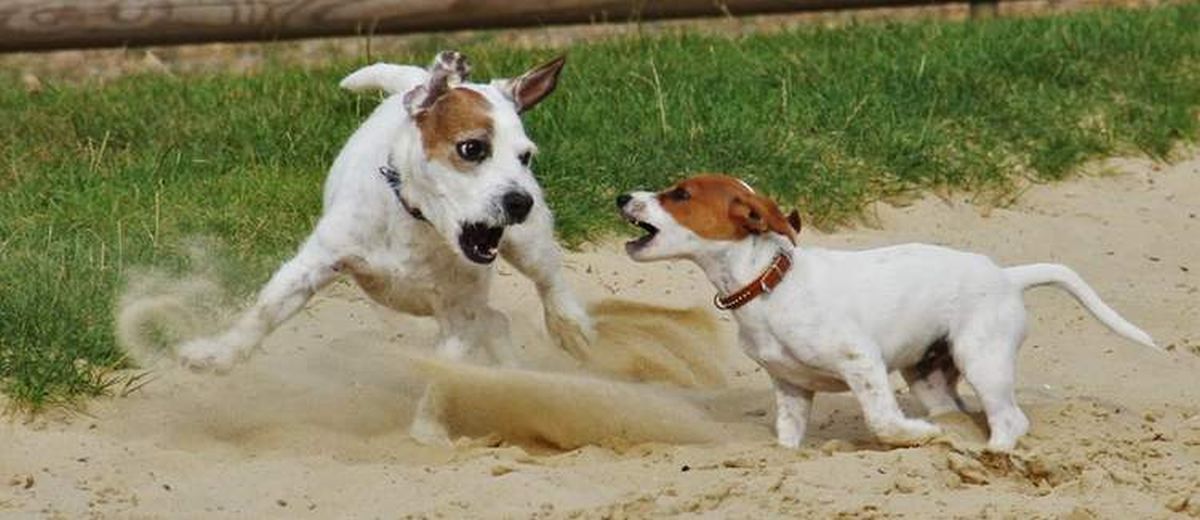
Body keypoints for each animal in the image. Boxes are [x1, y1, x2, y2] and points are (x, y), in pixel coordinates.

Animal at [175, 50, 595, 369]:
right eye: (472, 148)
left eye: (525, 157)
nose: (520, 201)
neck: (417, 222)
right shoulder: (314, 263)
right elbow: (265, 309)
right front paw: (218, 353)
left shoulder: (460, 316)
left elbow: (445, 372)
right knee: (498, 322)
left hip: (528, 244)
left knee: (548, 280)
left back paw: (570, 328)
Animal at [619, 174, 1152, 449]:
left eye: (680, 194)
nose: (621, 195)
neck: (770, 285)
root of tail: (1006, 275)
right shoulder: (790, 387)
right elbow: (787, 440)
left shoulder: (862, 362)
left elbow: (883, 422)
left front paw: (916, 435)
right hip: (930, 376)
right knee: (963, 412)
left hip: (985, 360)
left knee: (1009, 420)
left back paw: (993, 455)